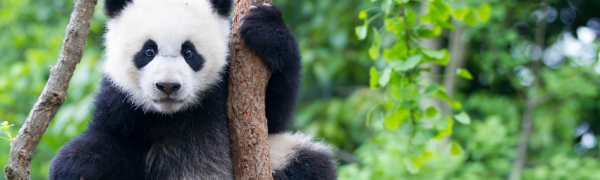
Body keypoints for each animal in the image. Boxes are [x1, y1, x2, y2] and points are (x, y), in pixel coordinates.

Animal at [48, 0, 338, 179]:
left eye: (189, 52)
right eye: (149, 51)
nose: (167, 86)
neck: (175, 114)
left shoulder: (226, 86)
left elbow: (274, 114)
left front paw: (266, 28)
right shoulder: (122, 101)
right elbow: (107, 140)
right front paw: (74, 167)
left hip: (283, 154)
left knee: (314, 162)